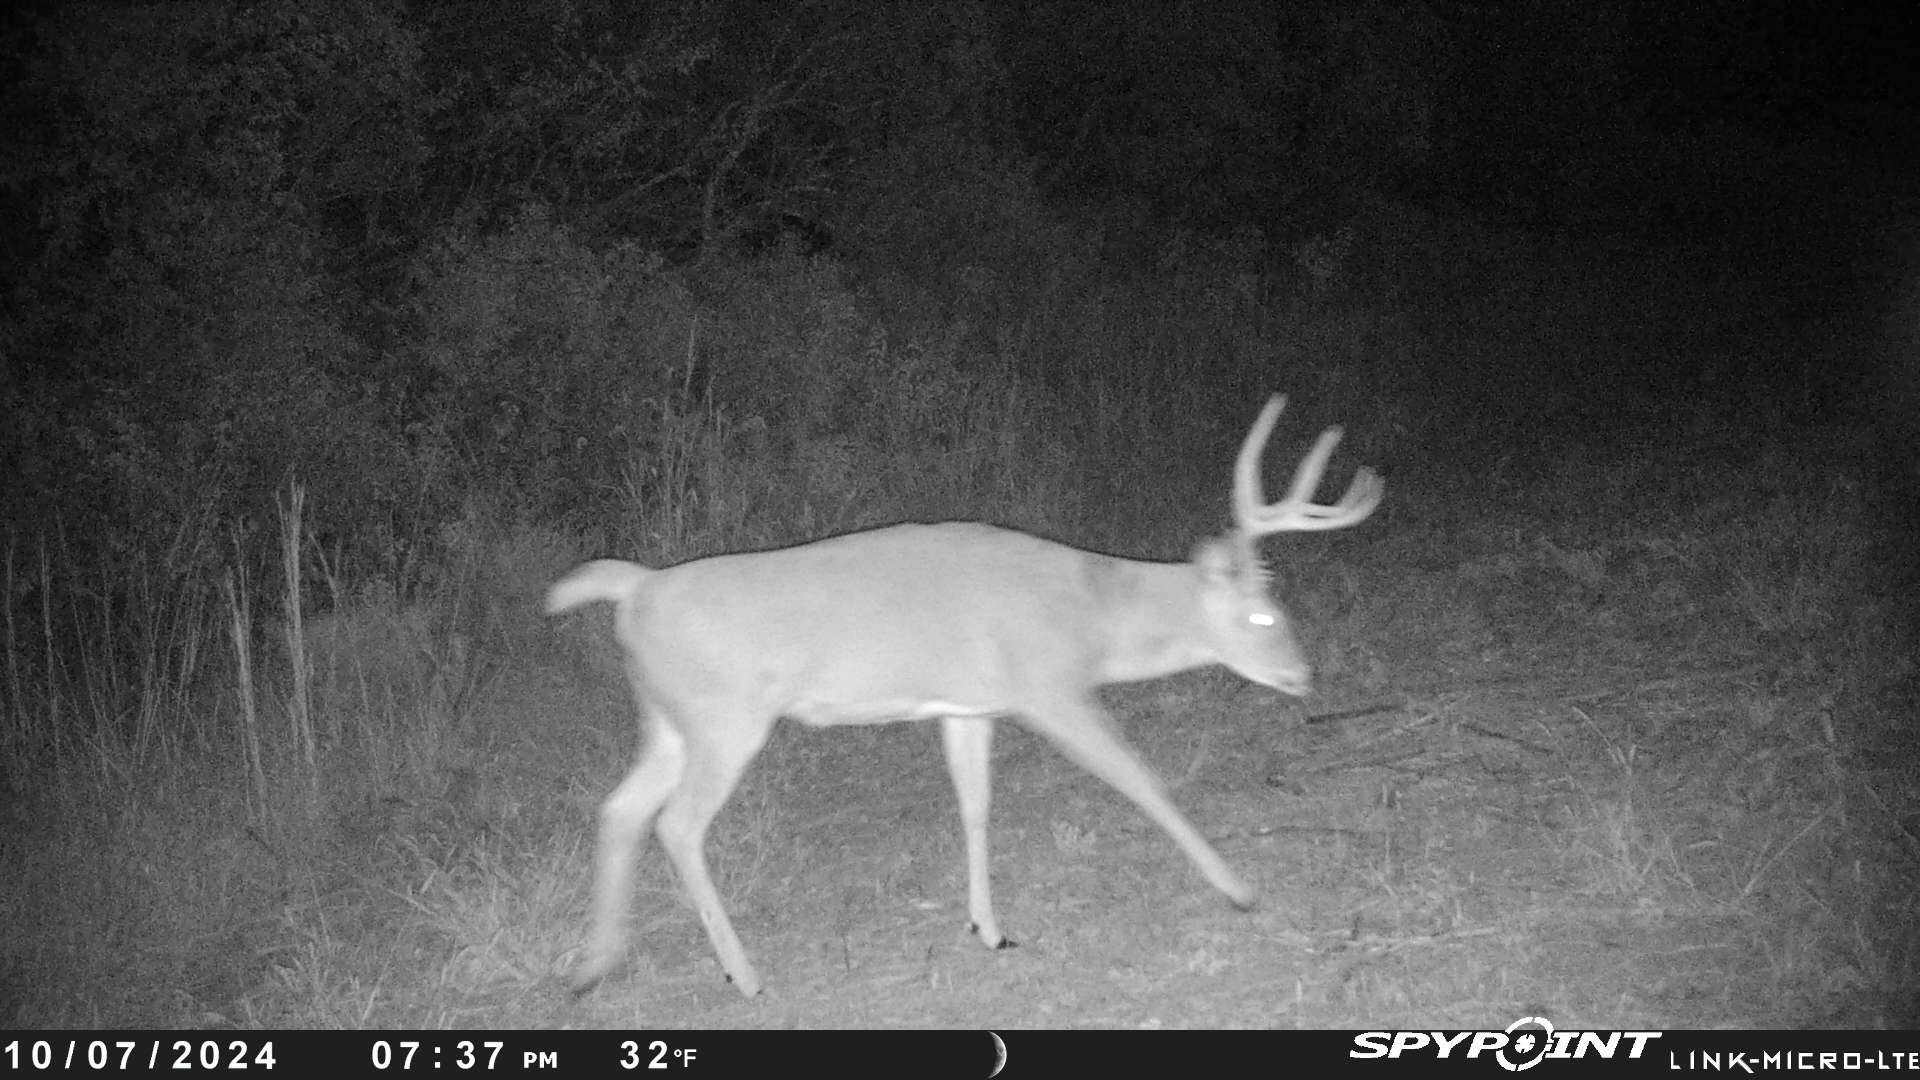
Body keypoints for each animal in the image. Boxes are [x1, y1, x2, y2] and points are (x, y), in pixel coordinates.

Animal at [548, 394, 1383, 997]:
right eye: (1263, 615)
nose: (1303, 675)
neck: (1095, 613)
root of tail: (636, 591)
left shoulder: (965, 705)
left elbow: (975, 805)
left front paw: (990, 928)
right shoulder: (1048, 686)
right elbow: (1141, 780)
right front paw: (1240, 890)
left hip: (668, 720)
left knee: (620, 810)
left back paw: (593, 967)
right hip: (726, 719)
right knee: (677, 823)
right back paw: (744, 975)